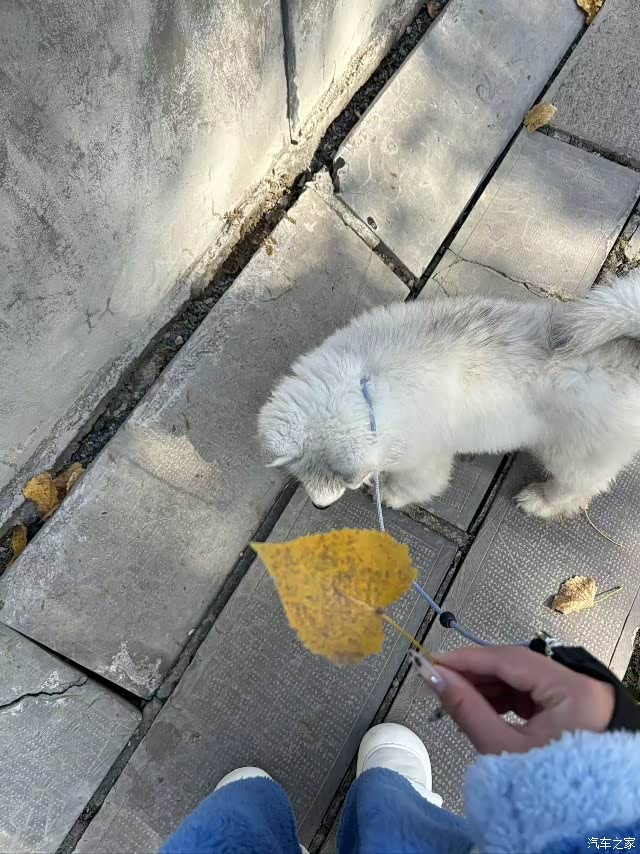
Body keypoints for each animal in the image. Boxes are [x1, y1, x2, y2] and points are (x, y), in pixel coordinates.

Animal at [258, 271, 640, 519]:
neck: (367, 383)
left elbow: (417, 483)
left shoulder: (424, 459)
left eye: (344, 481)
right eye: (301, 469)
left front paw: (391, 495)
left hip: (574, 454)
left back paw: (541, 501)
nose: (318, 505)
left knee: (581, 487)